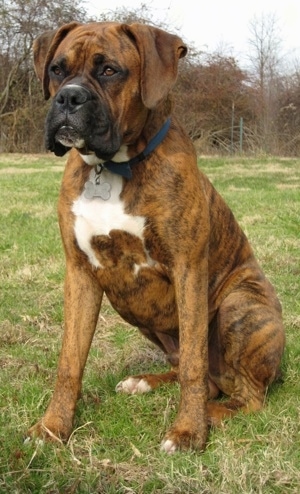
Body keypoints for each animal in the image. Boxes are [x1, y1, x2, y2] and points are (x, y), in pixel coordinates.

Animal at [27, 23, 284, 454]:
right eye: (57, 70)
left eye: (110, 70)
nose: (68, 97)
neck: (113, 167)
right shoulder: (80, 274)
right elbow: (69, 362)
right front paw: (52, 428)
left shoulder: (188, 270)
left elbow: (195, 364)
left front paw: (188, 433)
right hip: (140, 313)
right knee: (203, 380)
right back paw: (144, 382)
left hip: (239, 304)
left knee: (246, 396)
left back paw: (210, 415)